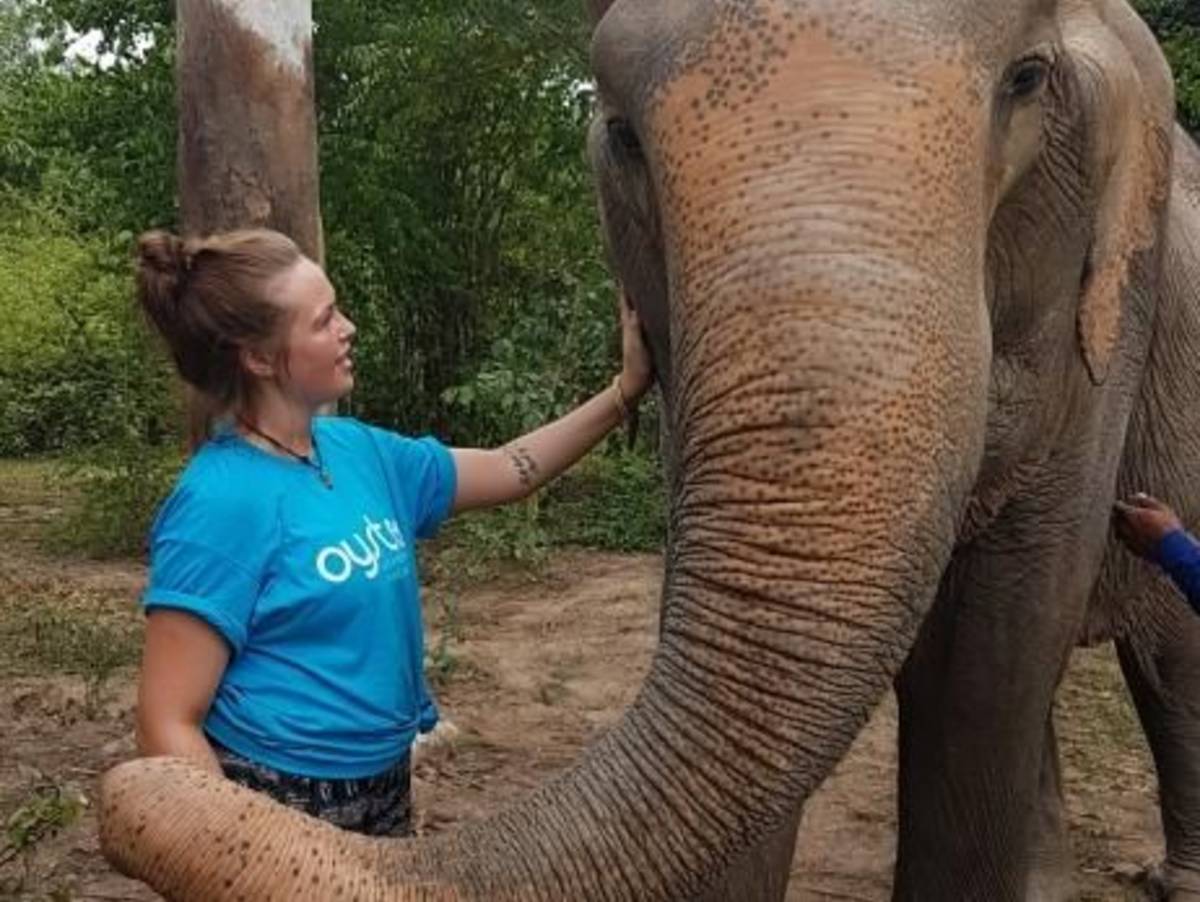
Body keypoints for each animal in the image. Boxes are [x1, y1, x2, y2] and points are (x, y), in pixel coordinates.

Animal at [98, 0, 1200, 899]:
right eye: (625, 133)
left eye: (1028, 81)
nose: (126, 781)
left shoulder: (1111, 320)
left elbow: (997, 644)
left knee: (1166, 656)